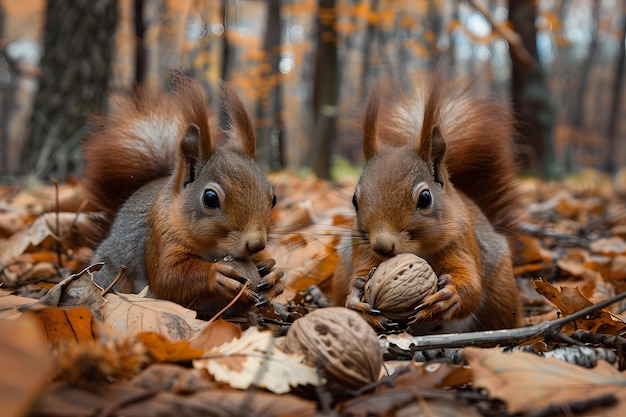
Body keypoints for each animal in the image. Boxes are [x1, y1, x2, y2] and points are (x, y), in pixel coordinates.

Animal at [81, 73, 282, 314]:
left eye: (274, 198)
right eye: (210, 198)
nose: (257, 244)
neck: (215, 250)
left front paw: (273, 273)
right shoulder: (160, 238)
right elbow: (168, 278)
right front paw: (216, 275)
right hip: (109, 273)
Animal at [332, 70, 520, 334]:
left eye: (425, 198)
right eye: (354, 201)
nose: (382, 246)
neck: (417, 251)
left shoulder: (461, 240)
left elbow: (471, 286)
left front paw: (450, 297)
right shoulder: (362, 249)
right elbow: (359, 275)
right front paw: (355, 298)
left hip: (502, 295)